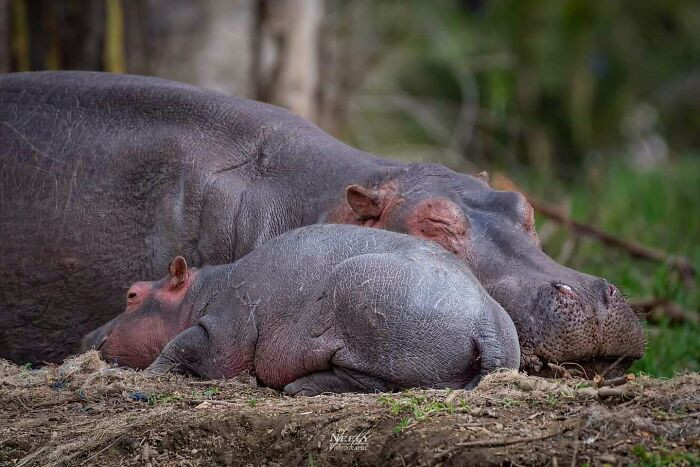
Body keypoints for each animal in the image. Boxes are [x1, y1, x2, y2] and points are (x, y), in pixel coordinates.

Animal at [81, 225, 520, 394]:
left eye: (132, 294)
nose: (85, 335)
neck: (198, 293)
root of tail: (486, 322)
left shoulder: (225, 327)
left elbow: (182, 344)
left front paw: (148, 375)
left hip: (361, 305)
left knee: (371, 382)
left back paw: (299, 387)